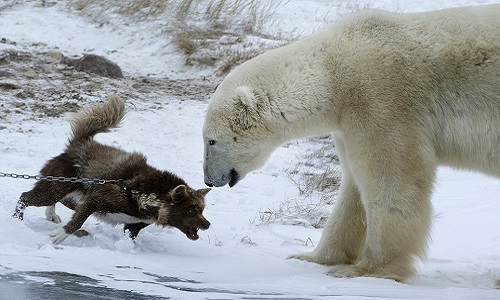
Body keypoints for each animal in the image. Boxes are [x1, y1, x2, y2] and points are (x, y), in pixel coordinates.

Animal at [13, 95, 209, 244]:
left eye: (202, 210)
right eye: (191, 210)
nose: (208, 224)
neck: (148, 194)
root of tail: (79, 145)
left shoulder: (133, 224)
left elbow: (130, 235)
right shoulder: (97, 200)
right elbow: (78, 221)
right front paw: (61, 235)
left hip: (72, 195)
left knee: (56, 200)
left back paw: (51, 214)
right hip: (57, 189)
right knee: (25, 197)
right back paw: (16, 222)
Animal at [201, 4, 498, 282]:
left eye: (211, 141)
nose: (208, 180)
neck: (333, 72)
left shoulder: (381, 101)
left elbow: (392, 179)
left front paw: (369, 269)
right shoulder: (346, 124)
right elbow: (353, 188)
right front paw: (311, 257)